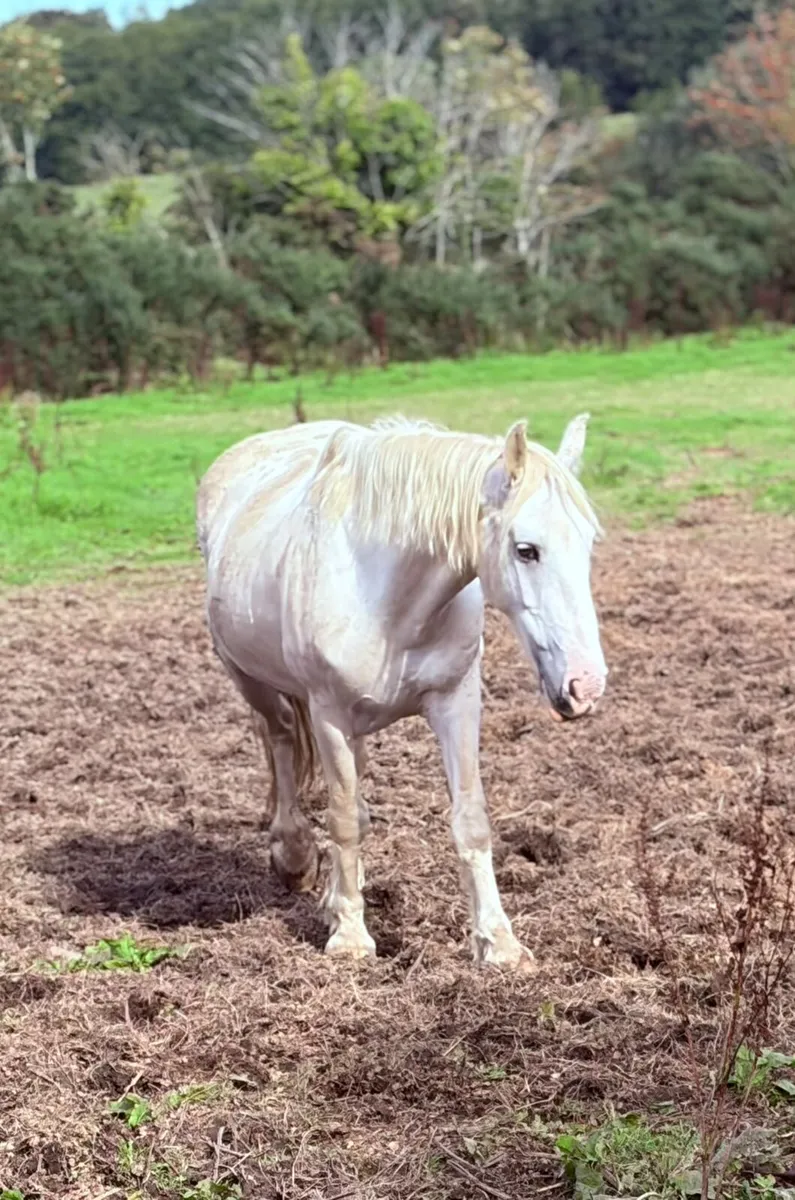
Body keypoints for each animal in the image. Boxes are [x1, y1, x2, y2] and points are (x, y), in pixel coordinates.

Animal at [196, 414, 607, 968]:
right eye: (526, 550)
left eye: (587, 544)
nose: (587, 684)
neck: (390, 597)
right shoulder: (328, 711)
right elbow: (343, 819)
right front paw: (350, 939)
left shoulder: (457, 701)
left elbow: (468, 819)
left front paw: (498, 943)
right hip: (246, 674)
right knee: (280, 738)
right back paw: (294, 855)